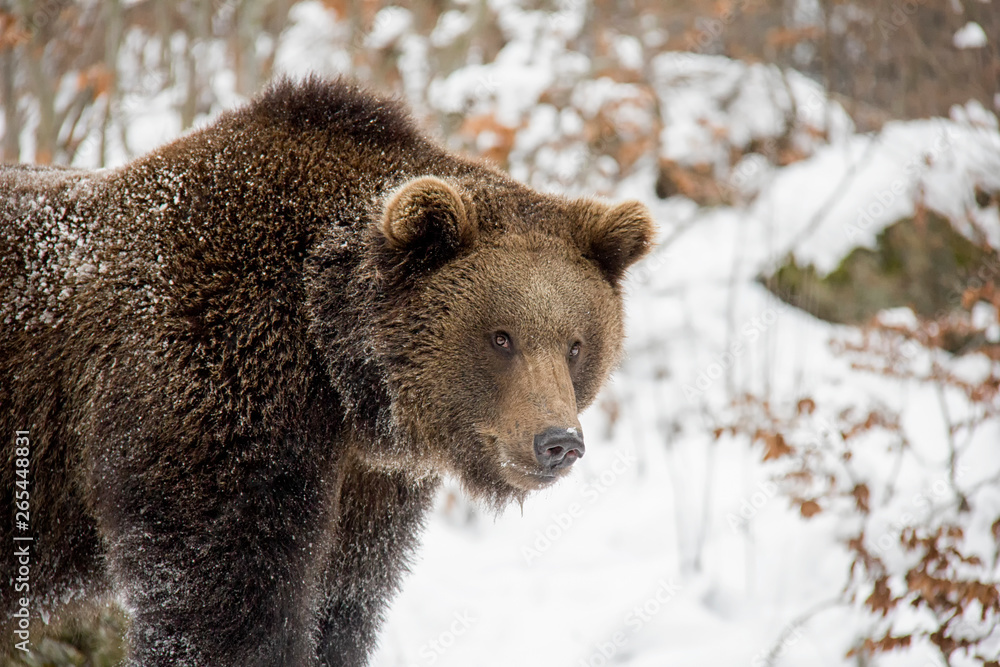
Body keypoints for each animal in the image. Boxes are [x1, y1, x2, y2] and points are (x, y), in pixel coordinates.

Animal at [0, 77, 654, 666]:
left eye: (575, 345)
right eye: (501, 337)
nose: (557, 441)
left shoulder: (367, 491)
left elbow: (342, 604)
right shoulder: (211, 390)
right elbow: (225, 601)